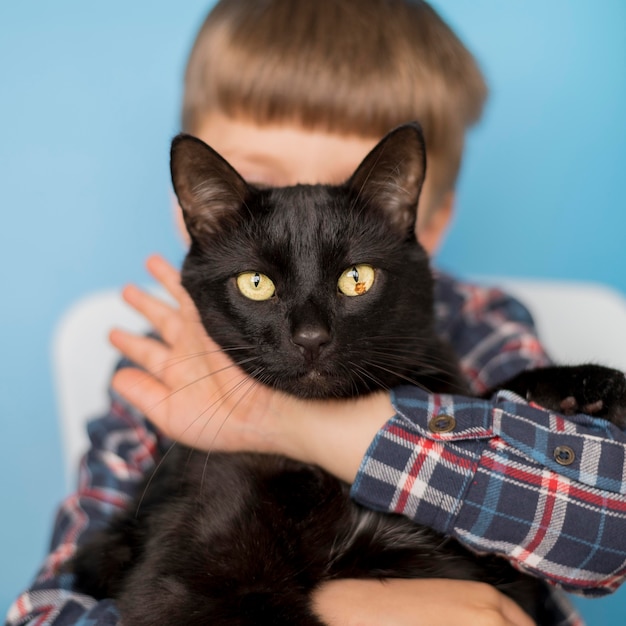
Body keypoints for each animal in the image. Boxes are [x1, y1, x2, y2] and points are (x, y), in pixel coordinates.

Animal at [69, 124, 624, 620]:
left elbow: (485, 412)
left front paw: (580, 390)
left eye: (357, 278)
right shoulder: (192, 582)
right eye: (255, 283)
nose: (311, 337)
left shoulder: (499, 576)